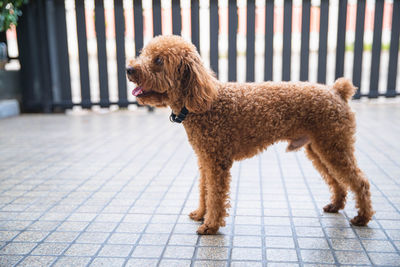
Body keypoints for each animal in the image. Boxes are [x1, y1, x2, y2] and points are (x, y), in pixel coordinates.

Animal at [127, 35, 376, 234]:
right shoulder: (205, 159)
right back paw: (336, 205)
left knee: (359, 181)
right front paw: (200, 214)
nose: (129, 69)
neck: (201, 103)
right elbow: (204, 190)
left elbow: (216, 195)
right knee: (337, 180)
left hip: (333, 144)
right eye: (144, 54)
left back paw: (362, 217)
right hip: (319, 148)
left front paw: (210, 226)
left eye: (159, 60)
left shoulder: (217, 162)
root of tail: (338, 92)